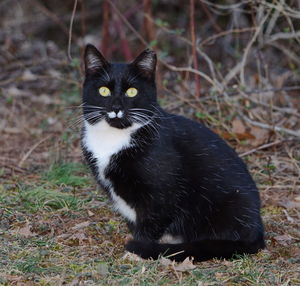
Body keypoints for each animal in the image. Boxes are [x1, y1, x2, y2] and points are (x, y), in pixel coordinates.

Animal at [80, 44, 264, 262]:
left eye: (132, 91)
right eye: (104, 90)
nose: (116, 107)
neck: (115, 138)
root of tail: (258, 232)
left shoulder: (162, 192)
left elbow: (150, 223)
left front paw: (138, 250)